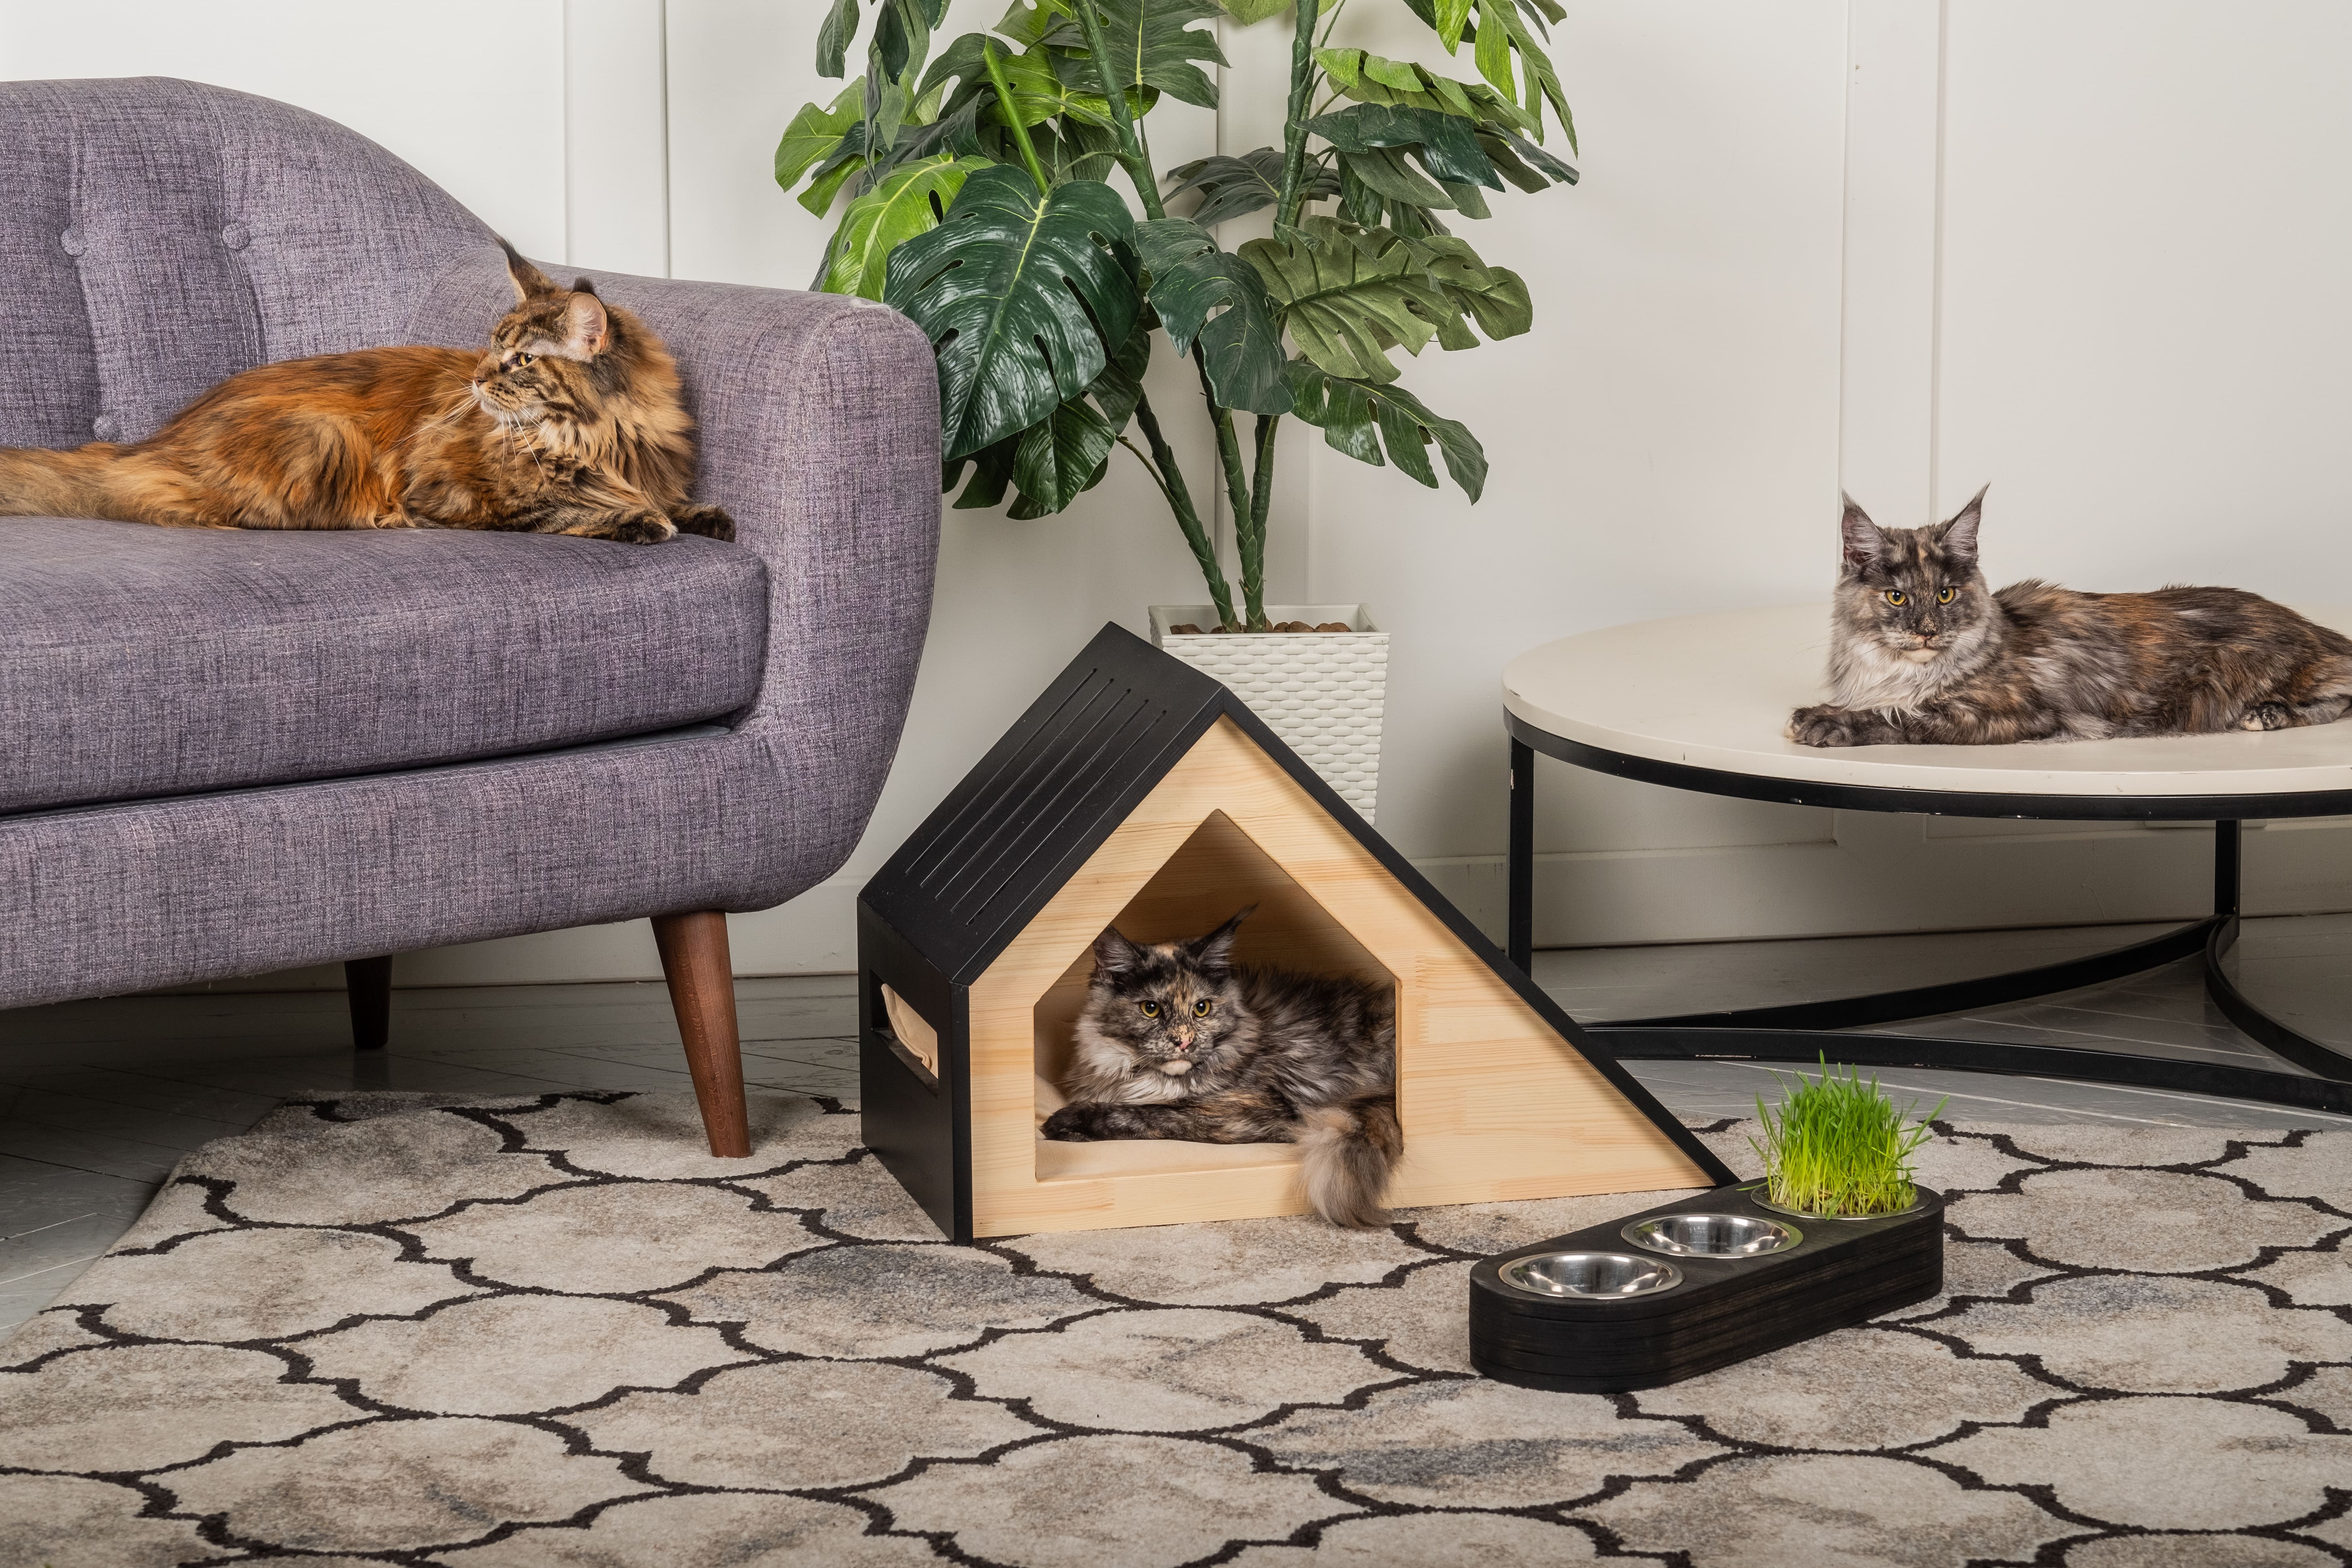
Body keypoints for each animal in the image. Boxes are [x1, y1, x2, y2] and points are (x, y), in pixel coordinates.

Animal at [0, 241, 729, 545]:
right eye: (491, 346)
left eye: (521, 358)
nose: (477, 379)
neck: (598, 436)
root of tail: (149, 444)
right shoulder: (446, 490)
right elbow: (559, 508)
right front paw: (639, 519)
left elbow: (672, 499)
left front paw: (698, 513)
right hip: (323, 437)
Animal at [1030, 912, 1392, 1232]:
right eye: (1151, 1009)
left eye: (1201, 1009)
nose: (1184, 1041)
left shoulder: (1263, 1108)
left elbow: (1154, 1113)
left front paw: (1068, 1123)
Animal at [1778, 486, 2352, 752]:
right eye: (1897, 598)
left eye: (1944, 594)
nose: (1926, 631)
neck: (1899, 671)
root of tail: (2305, 623)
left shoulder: (2012, 713)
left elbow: (1902, 717)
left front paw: (1824, 721)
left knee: (2339, 698)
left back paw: (2269, 713)